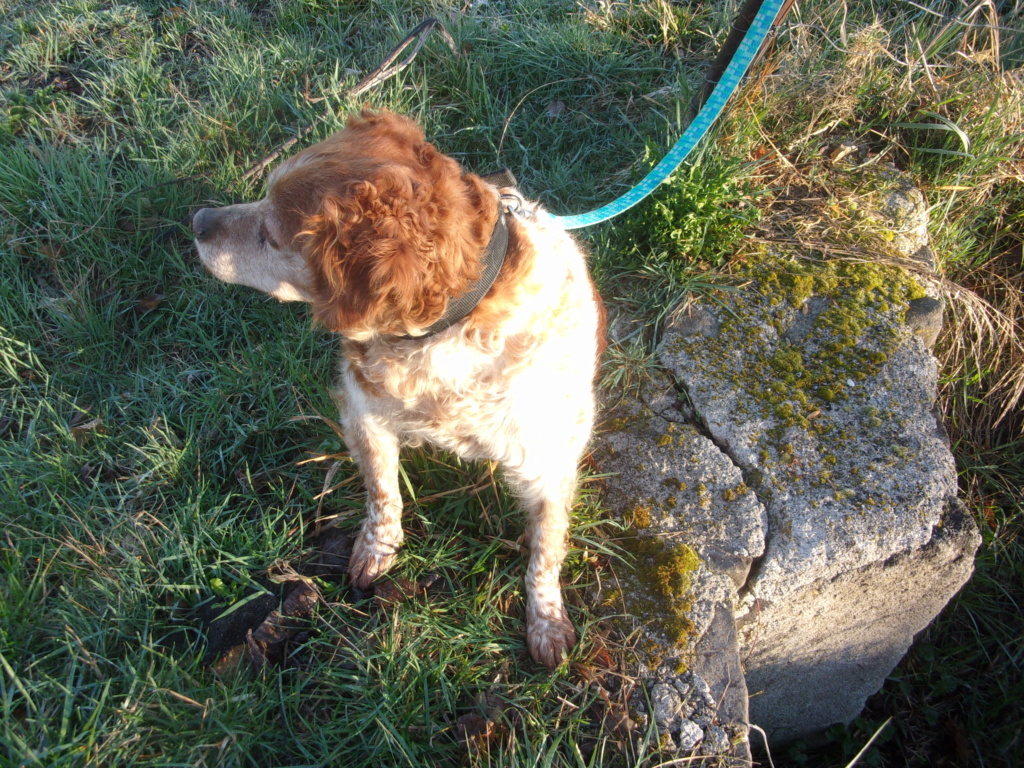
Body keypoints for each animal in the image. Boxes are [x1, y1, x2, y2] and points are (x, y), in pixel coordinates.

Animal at [193, 111, 598, 671]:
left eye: (271, 236)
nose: (198, 220)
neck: (450, 328)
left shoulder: (548, 466)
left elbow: (545, 553)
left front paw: (547, 621)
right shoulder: (362, 410)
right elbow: (383, 493)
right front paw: (376, 550)